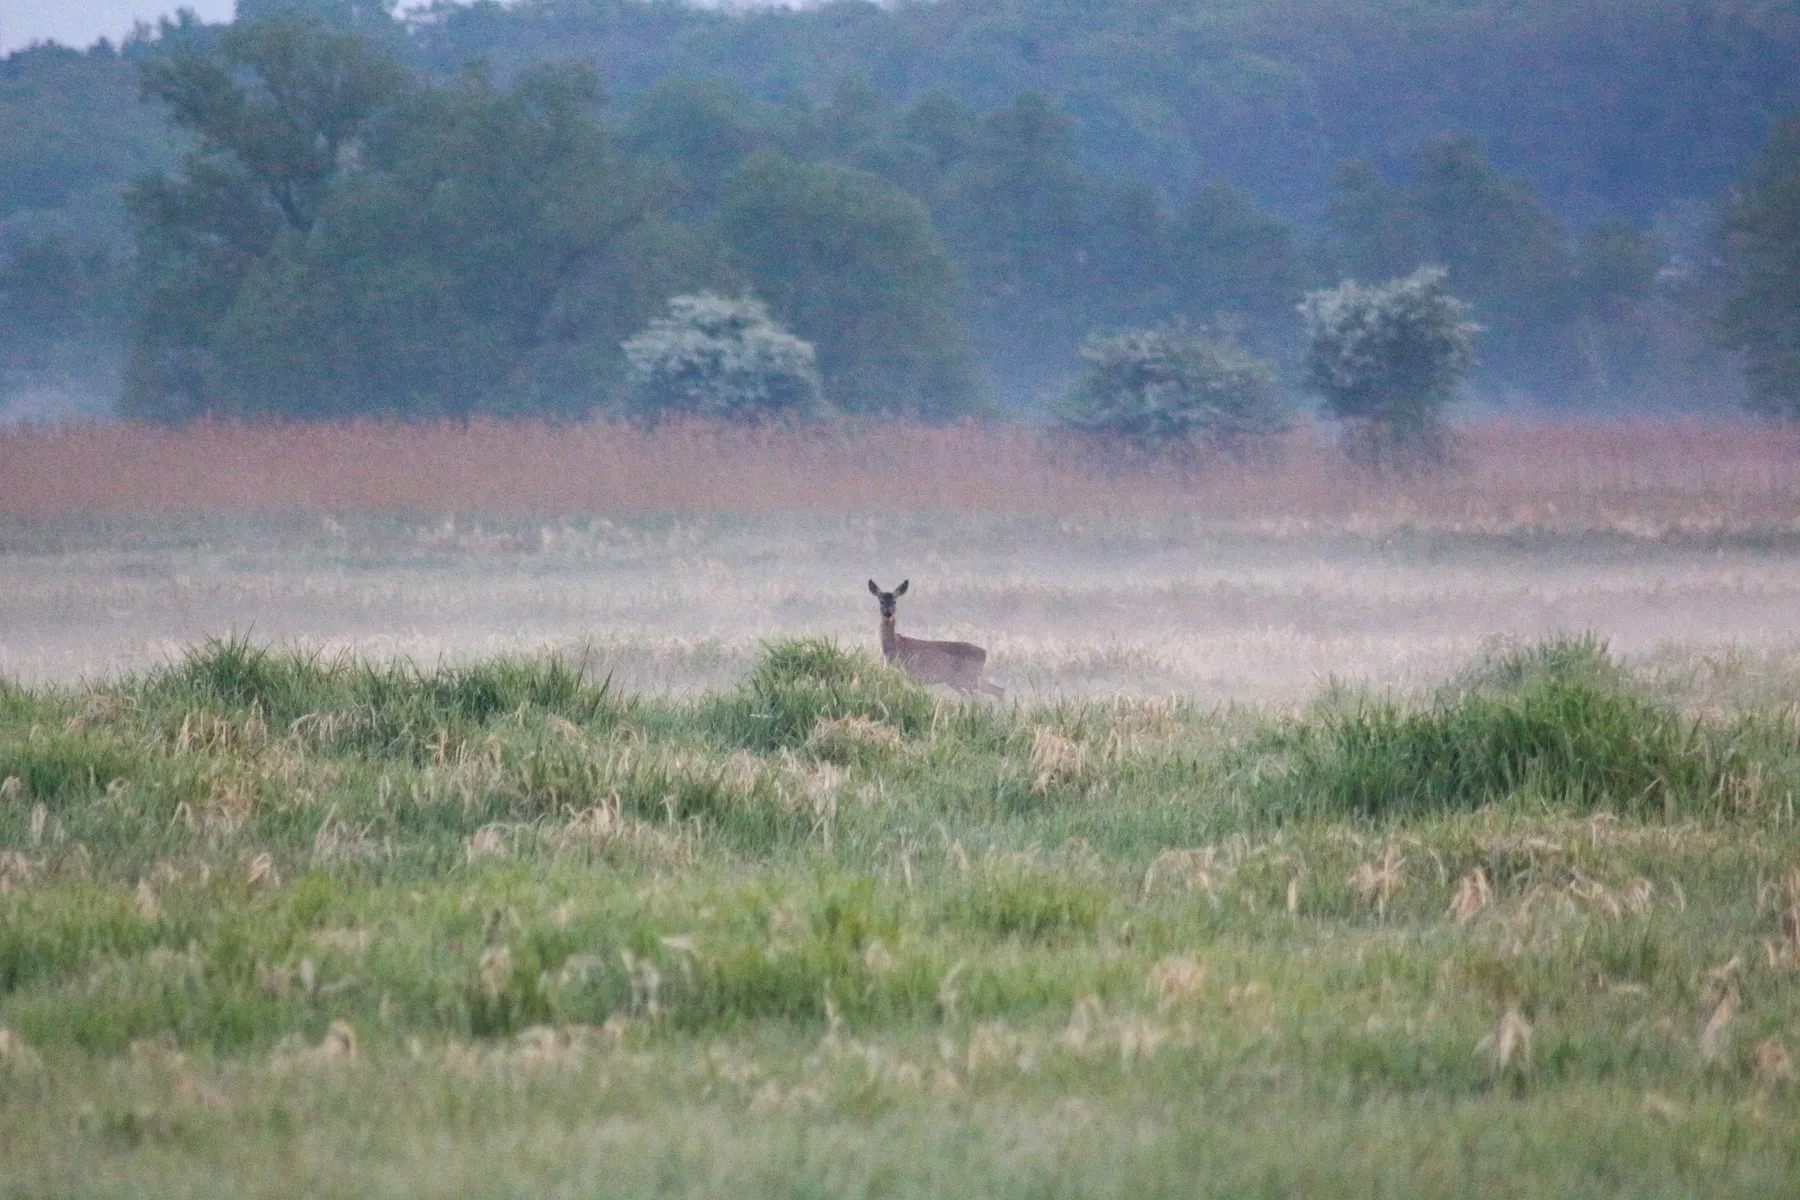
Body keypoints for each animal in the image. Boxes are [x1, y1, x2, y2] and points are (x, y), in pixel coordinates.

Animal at [868, 579, 1004, 697]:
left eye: (894, 601)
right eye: (881, 601)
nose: (888, 613)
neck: (895, 646)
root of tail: (984, 653)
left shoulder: (910, 674)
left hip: (968, 679)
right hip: (964, 681)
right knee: (996, 690)